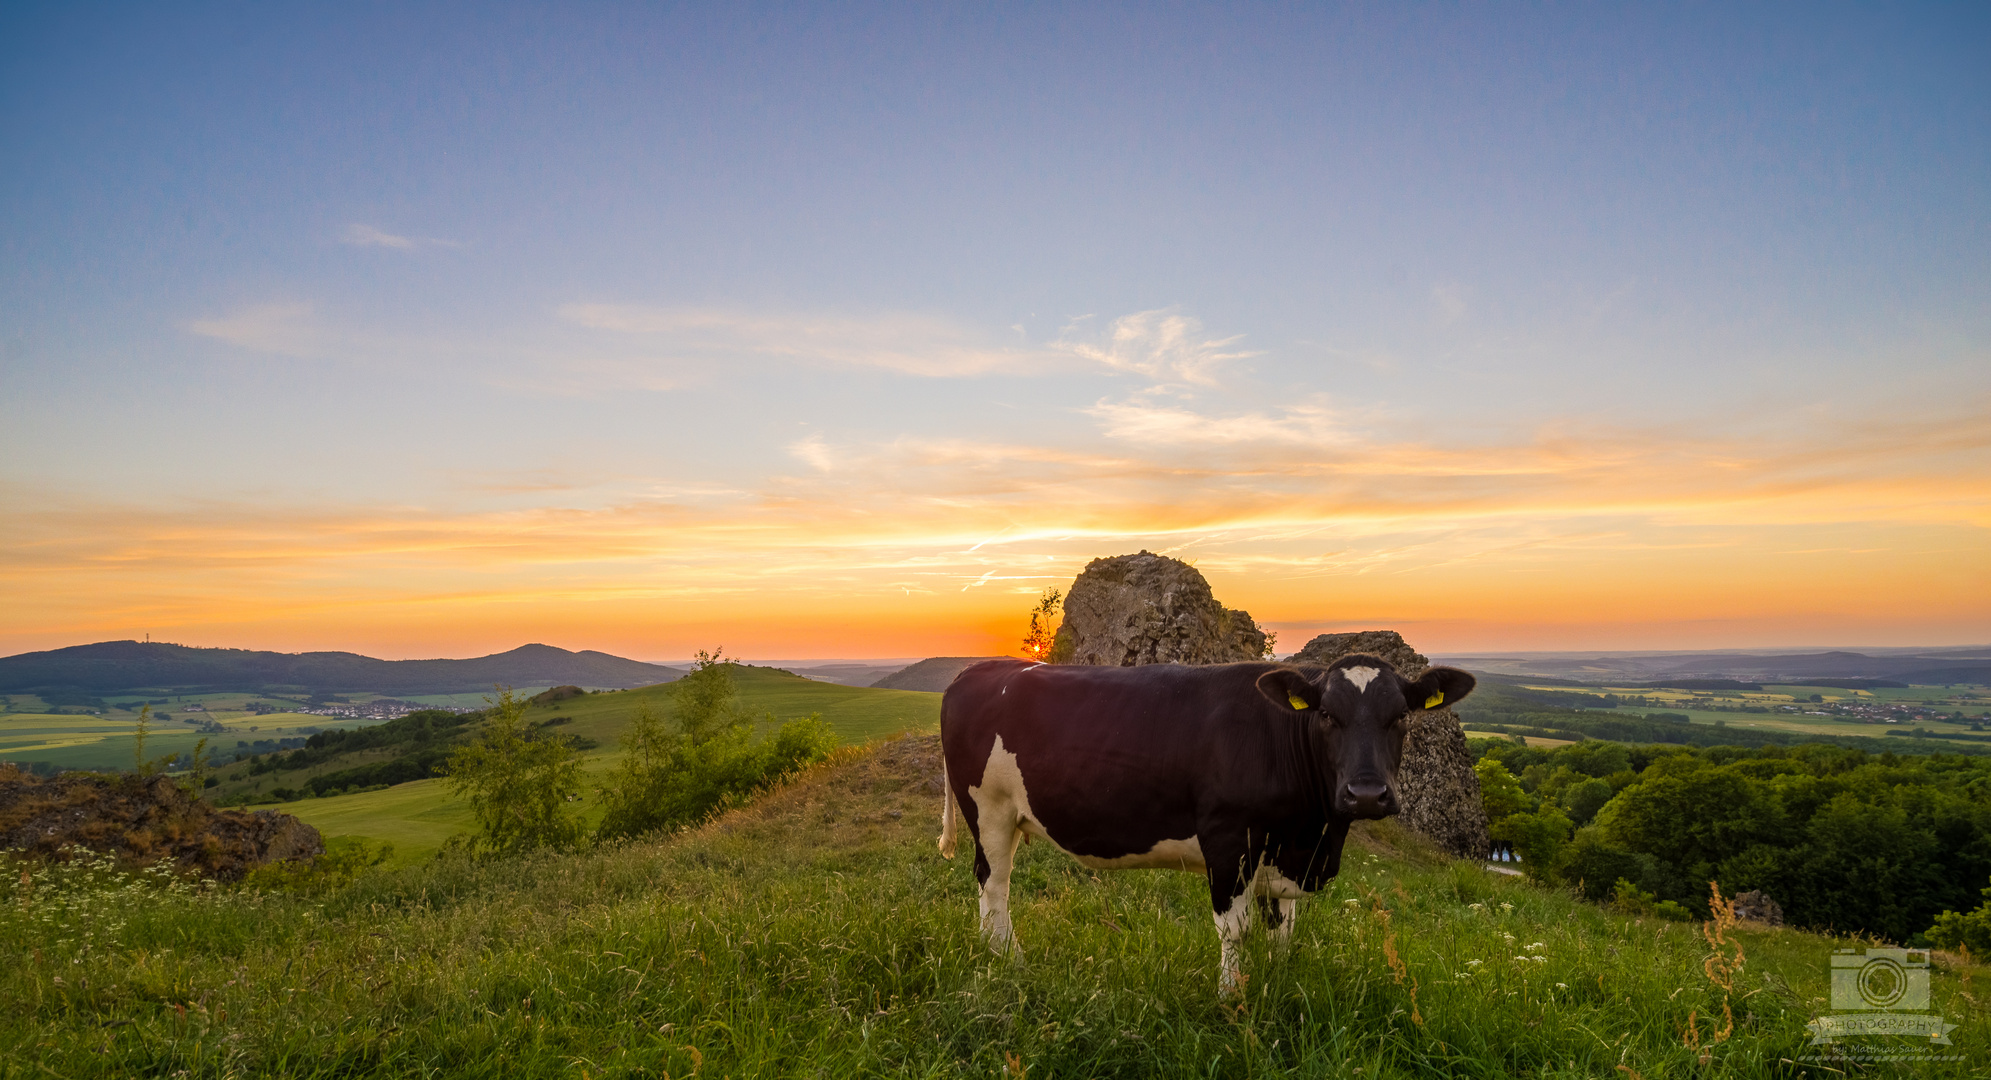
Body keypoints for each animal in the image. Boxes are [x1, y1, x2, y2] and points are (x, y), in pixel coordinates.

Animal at [935, 657, 1481, 996]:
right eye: (1327, 714)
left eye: (1402, 716)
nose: (1366, 793)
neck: (1313, 838)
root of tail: (979, 668)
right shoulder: (1229, 838)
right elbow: (1234, 929)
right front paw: (1230, 998)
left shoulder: (1282, 853)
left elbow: (1283, 929)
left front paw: (1279, 982)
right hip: (988, 809)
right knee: (994, 884)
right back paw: (1006, 959)